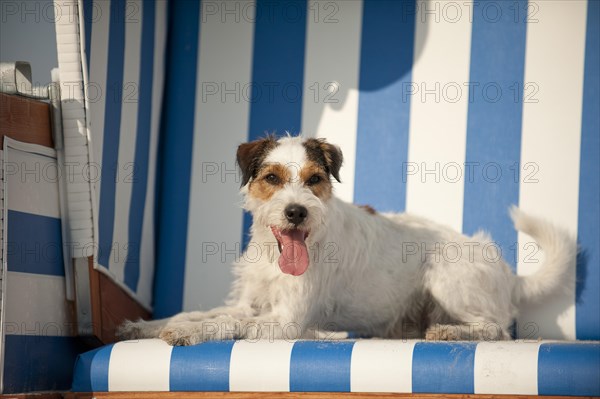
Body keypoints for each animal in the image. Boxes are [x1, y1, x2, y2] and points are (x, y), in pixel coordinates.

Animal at [118, 135, 576, 346]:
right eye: (272, 178)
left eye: (315, 180)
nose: (296, 212)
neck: (276, 255)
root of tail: (510, 273)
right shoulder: (250, 303)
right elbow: (192, 312)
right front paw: (144, 326)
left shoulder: (286, 321)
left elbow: (223, 322)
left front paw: (189, 333)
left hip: (449, 274)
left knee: (498, 329)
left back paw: (449, 332)